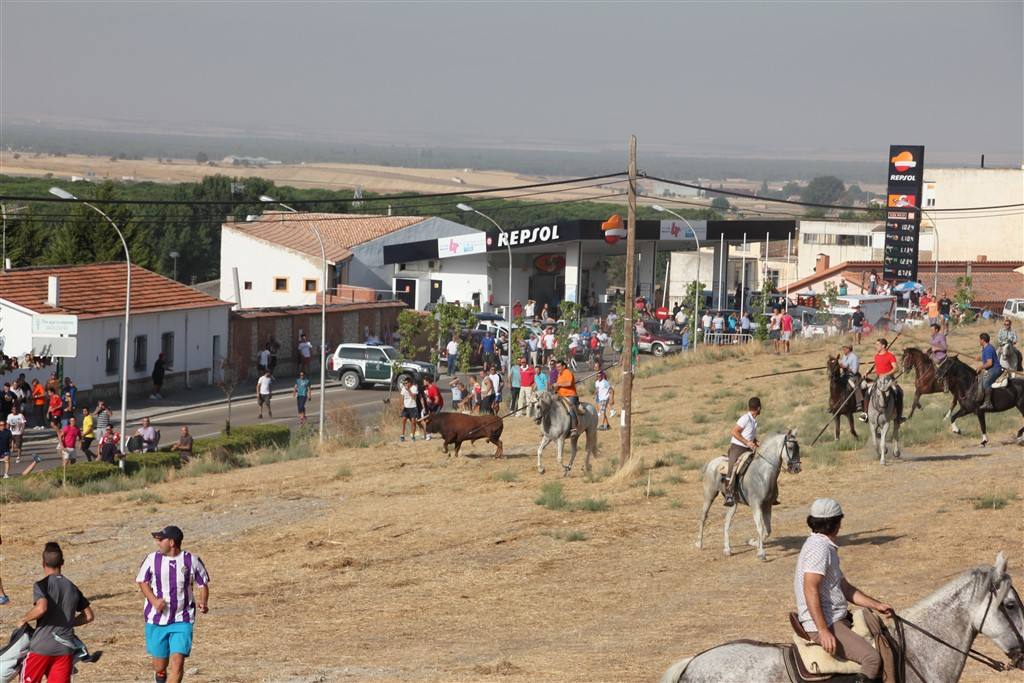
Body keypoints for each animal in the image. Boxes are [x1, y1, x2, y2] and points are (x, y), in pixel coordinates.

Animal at [696, 432, 798, 561]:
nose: (797, 468)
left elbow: (767, 530)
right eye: (790, 447)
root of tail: (712, 462)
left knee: (726, 523)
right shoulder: (756, 505)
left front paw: (752, 542)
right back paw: (699, 543)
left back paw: (727, 549)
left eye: (798, 447)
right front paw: (761, 553)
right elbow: (760, 527)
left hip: (732, 504)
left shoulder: (767, 505)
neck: (762, 474)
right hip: (709, 495)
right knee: (703, 516)